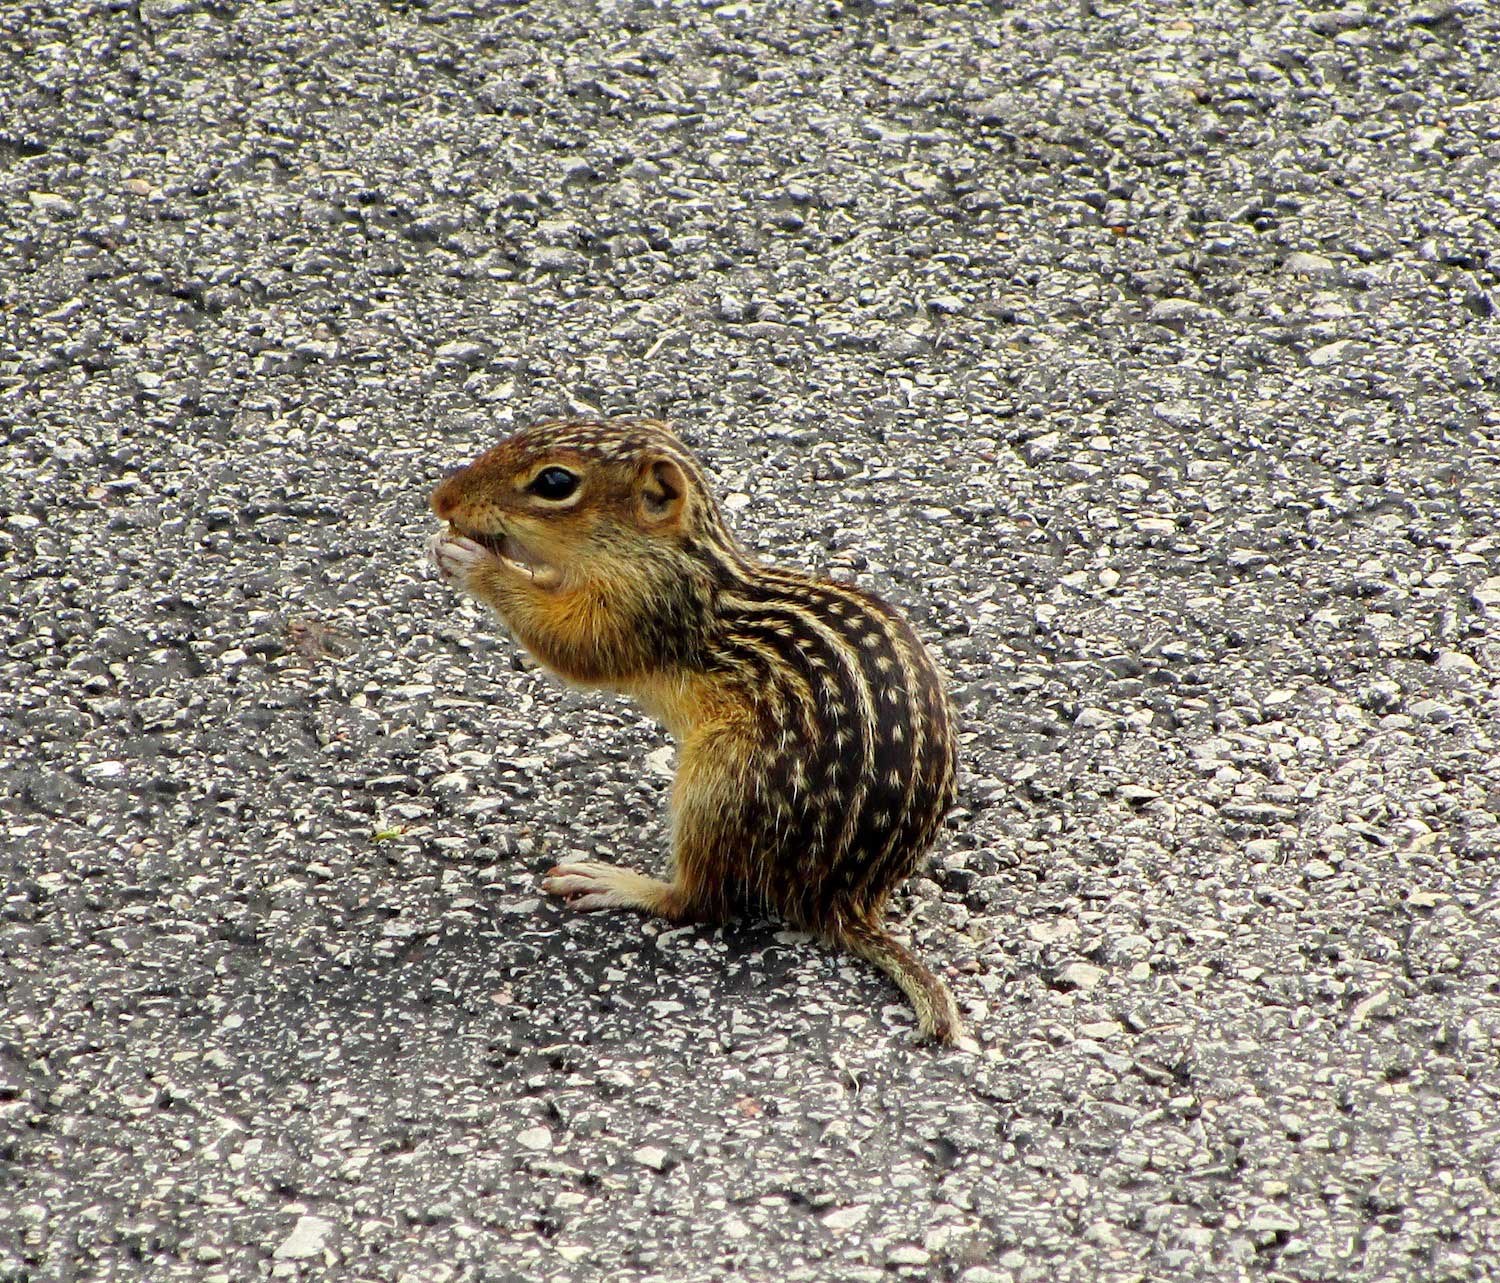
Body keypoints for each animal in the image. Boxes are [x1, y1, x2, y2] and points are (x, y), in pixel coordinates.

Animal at [429, 417, 966, 1050]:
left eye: (555, 483)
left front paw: (472, 563)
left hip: (720, 783)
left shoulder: (643, 611)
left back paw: (615, 882)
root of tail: (844, 897)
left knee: (700, 903)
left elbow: (571, 645)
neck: (674, 556)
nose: (441, 500)